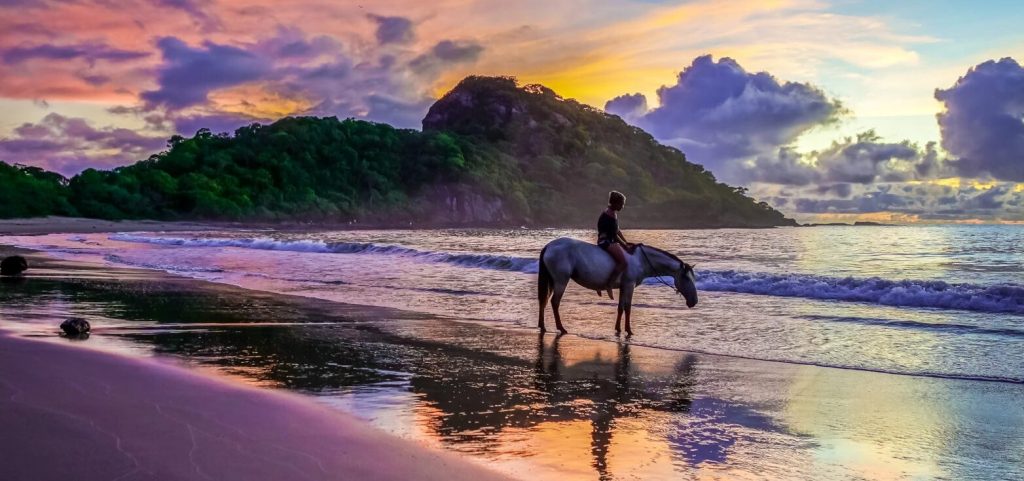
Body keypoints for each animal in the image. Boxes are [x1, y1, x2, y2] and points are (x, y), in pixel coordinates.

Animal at [536, 236, 696, 333]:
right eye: (686, 278)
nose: (694, 301)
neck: (640, 260)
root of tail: (549, 246)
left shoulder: (624, 286)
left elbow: (620, 308)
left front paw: (618, 329)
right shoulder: (630, 285)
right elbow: (628, 308)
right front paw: (628, 330)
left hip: (552, 280)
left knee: (543, 300)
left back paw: (542, 326)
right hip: (561, 280)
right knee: (554, 302)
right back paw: (561, 327)